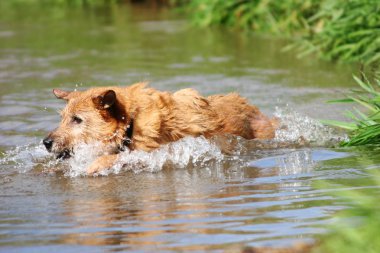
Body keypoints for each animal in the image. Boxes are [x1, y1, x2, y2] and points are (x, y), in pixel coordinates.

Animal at [43, 83, 276, 174]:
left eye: (77, 119)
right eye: (63, 118)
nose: (46, 142)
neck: (131, 122)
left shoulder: (152, 153)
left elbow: (115, 158)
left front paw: (92, 167)